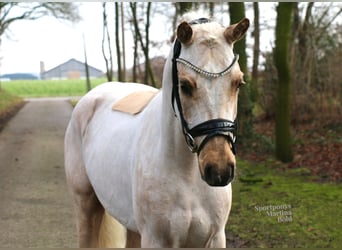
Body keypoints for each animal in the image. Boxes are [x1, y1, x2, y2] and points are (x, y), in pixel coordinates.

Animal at [65, 14, 248, 247]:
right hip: (86, 204)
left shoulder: (215, 238)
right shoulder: (155, 239)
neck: (187, 175)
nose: (219, 170)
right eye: (185, 86)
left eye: (238, 83)